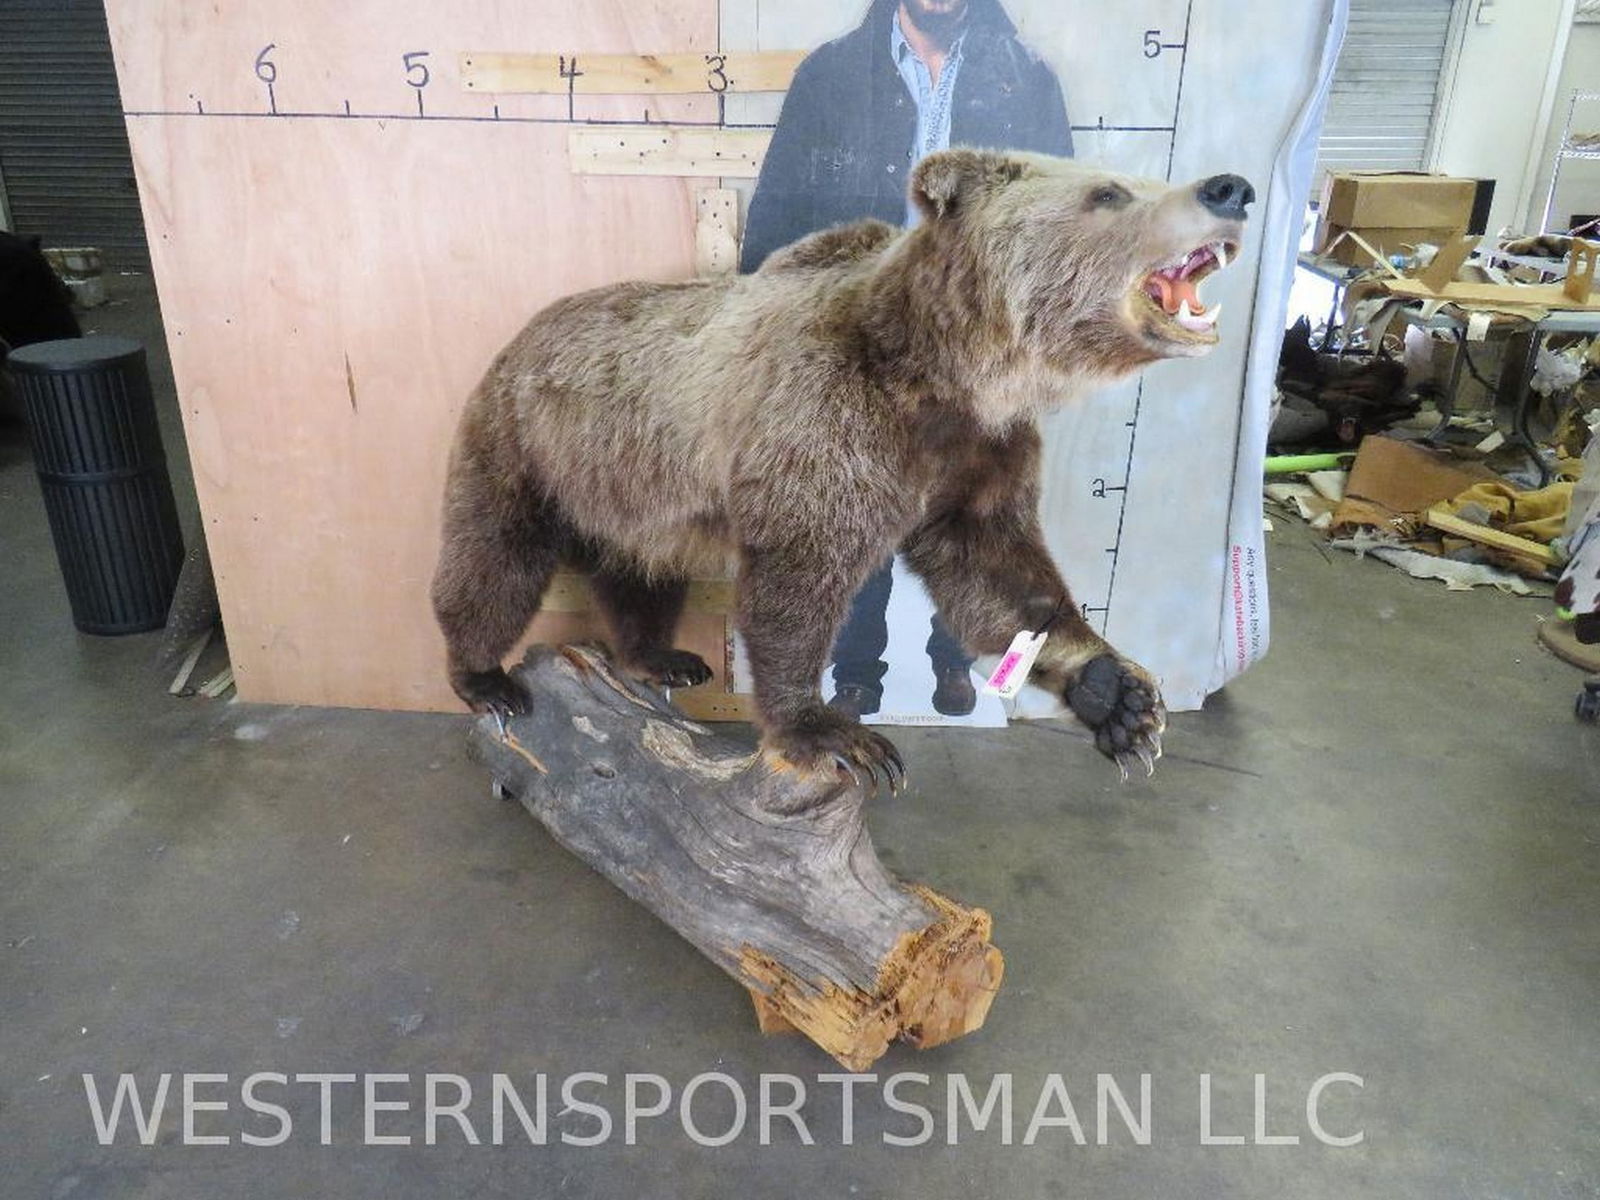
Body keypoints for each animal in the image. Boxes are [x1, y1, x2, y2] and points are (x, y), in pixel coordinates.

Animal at [431, 148, 1253, 784]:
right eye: (1109, 192)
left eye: (1136, 177)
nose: (1230, 189)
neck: (945, 375)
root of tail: (524, 332)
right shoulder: (828, 423)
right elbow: (797, 584)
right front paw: (832, 732)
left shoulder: (975, 456)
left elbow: (997, 576)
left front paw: (1117, 697)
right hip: (527, 445)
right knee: (493, 562)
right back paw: (486, 677)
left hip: (631, 483)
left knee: (640, 572)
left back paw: (662, 656)